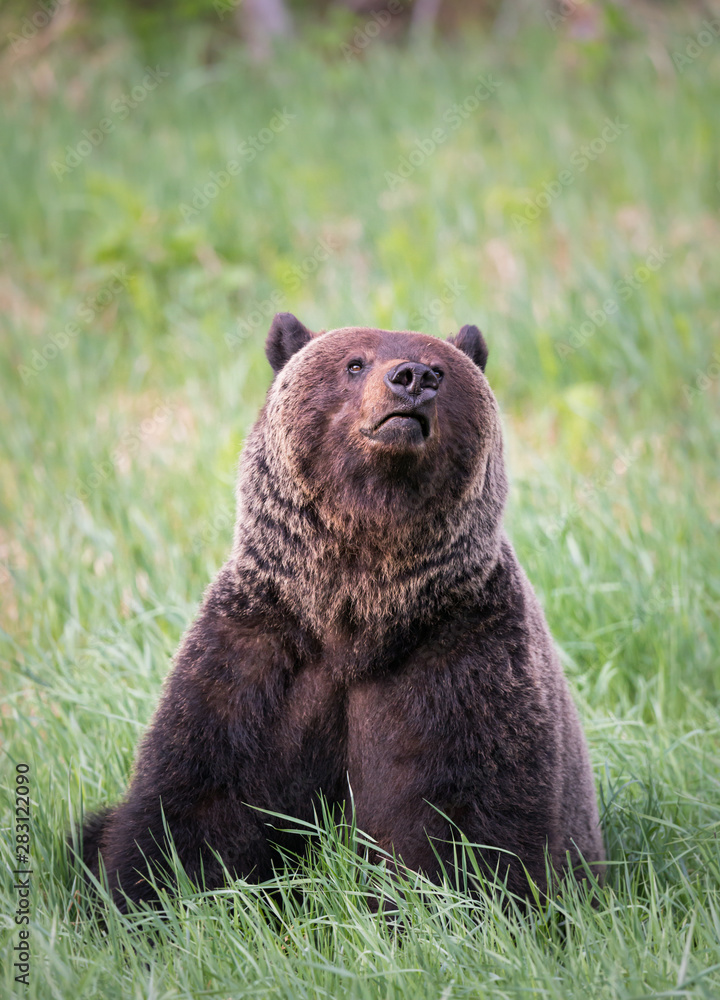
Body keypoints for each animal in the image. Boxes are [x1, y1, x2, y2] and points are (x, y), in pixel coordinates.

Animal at [76, 312, 605, 911]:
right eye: (354, 363)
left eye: (443, 369)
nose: (413, 377)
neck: (357, 612)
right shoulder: (259, 654)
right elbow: (194, 799)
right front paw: (146, 897)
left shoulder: (464, 653)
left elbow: (473, 820)